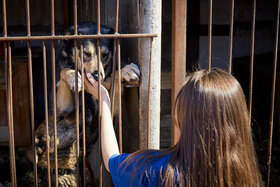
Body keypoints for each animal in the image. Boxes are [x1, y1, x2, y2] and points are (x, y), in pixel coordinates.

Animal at [23, 22, 142, 186]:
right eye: (86, 53)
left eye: (105, 54)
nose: (98, 76)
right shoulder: (62, 107)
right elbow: (64, 71)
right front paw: (73, 77)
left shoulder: (109, 108)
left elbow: (114, 78)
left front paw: (126, 70)